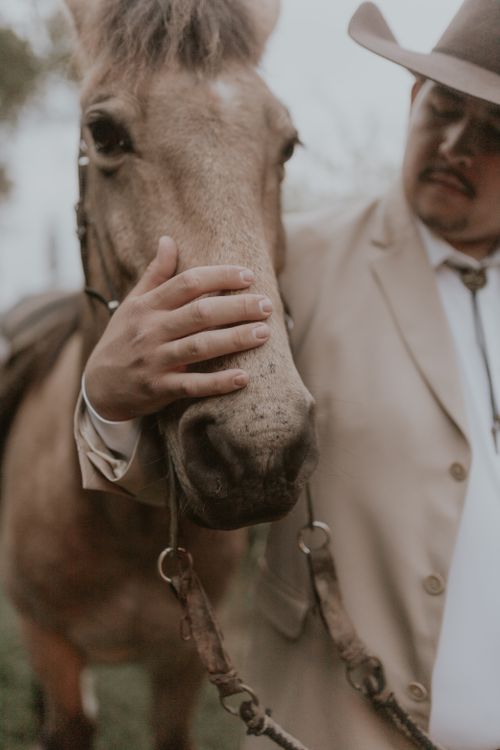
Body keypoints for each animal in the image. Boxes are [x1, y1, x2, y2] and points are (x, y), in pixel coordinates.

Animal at [0, 1, 317, 748]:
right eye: (104, 133)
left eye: (288, 145)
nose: (257, 450)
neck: (121, 519)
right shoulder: (50, 644)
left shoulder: (180, 668)